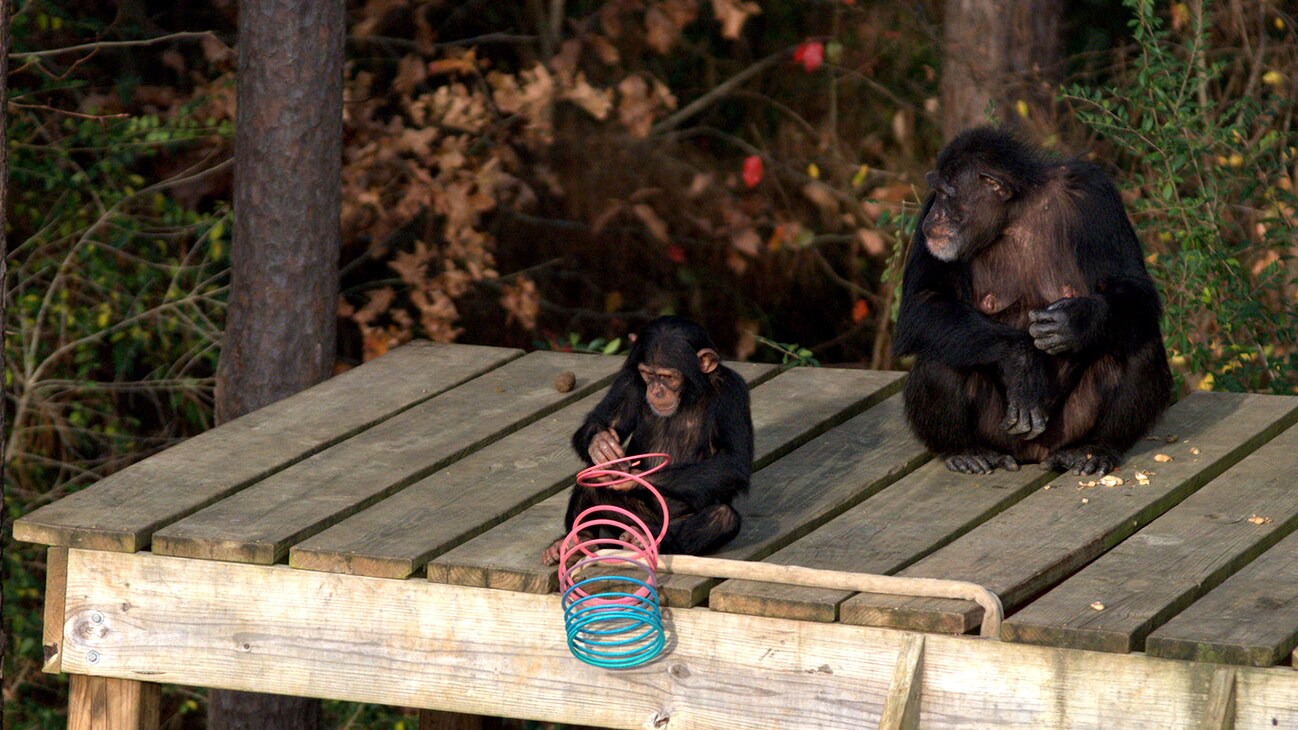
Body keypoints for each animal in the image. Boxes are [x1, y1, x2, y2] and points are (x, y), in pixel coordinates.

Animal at [539, 314, 758, 563]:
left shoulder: (732, 391)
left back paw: (647, 539)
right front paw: (601, 445)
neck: (689, 394)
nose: (656, 390)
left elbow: (733, 460)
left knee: (722, 517)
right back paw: (576, 541)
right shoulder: (628, 381)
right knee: (592, 483)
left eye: (666, 376)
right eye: (647, 374)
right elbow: (601, 422)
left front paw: (634, 477)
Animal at [898, 125, 1173, 475]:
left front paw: (1077, 322)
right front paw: (1021, 360)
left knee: (1139, 345)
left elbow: (1132, 284)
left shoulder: (1094, 194)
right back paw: (965, 451)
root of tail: (1033, 455)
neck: (1013, 216)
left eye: (947, 195)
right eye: (938, 195)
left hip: (1070, 425)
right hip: (1000, 432)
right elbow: (924, 301)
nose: (933, 217)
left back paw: (1094, 449)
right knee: (941, 354)